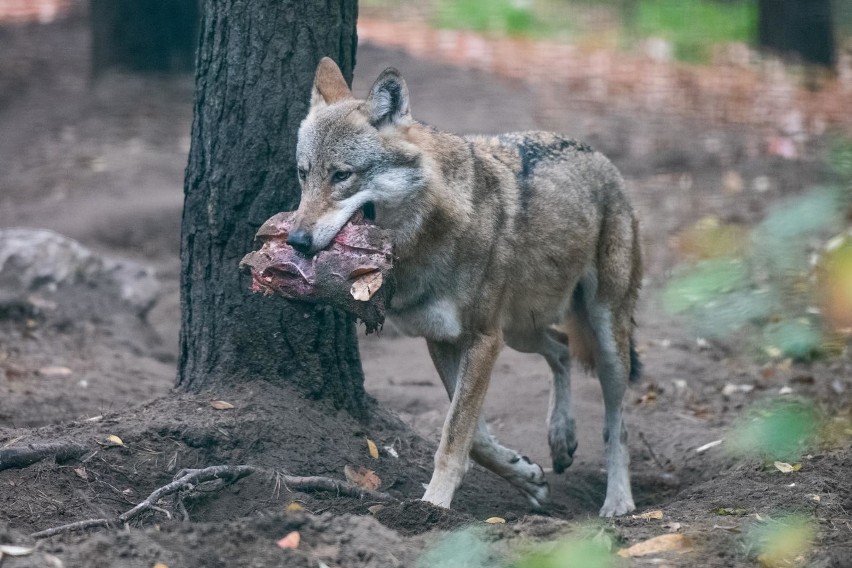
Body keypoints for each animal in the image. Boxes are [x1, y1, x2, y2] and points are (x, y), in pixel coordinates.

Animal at [290, 58, 644, 520]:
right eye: (303, 174)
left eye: (341, 175)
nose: (295, 240)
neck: (428, 236)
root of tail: (602, 158)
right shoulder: (444, 339)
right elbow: (473, 436)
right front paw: (527, 477)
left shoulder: (482, 339)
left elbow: (455, 435)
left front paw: (433, 506)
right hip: (519, 331)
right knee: (562, 348)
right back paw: (561, 438)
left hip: (603, 337)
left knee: (617, 421)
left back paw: (618, 500)